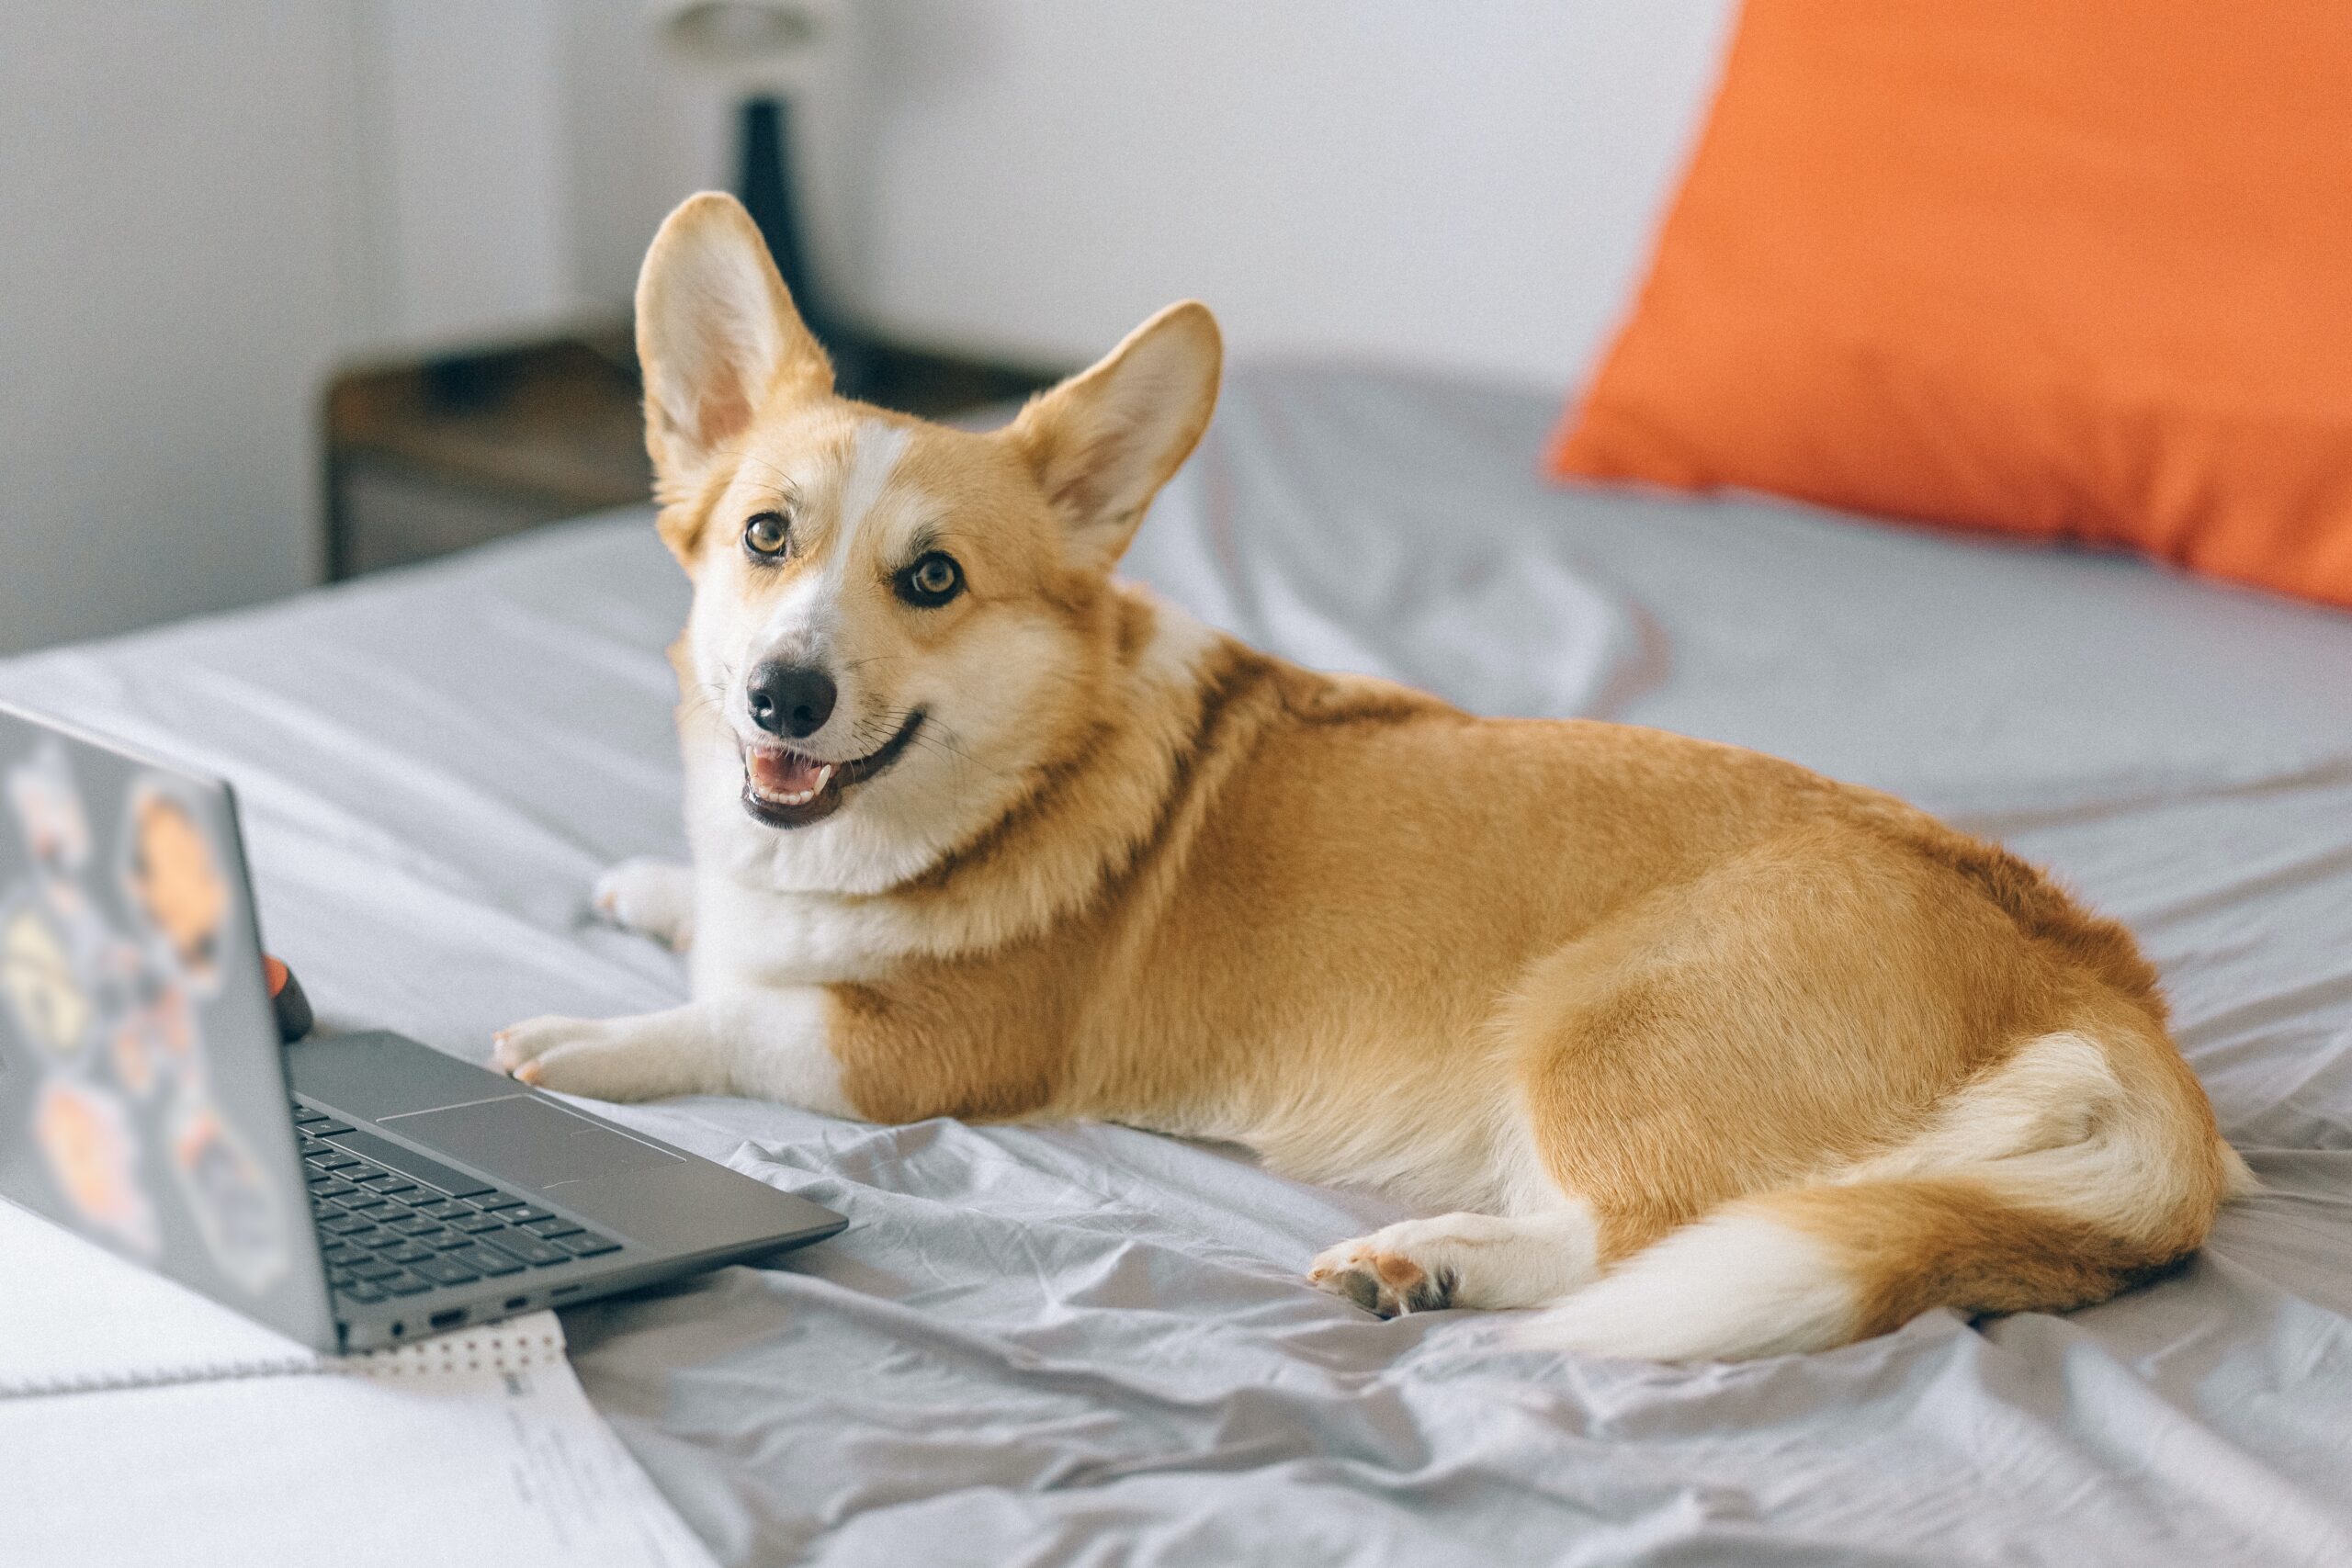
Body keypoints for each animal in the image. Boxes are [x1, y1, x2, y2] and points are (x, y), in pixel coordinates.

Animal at [492, 190, 2239, 1354]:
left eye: (932, 581)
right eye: (764, 537)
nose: (781, 694)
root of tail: (2098, 987)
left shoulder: (916, 1055)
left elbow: (736, 1015)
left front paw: (579, 1040)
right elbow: (707, 919)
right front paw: (646, 883)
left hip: (1600, 1027)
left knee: (1645, 1239)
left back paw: (1438, 1262)